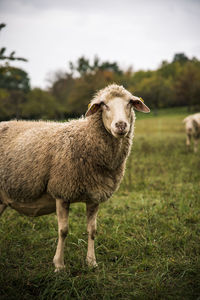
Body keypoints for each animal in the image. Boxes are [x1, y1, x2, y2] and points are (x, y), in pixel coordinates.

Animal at [0, 84, 150, 272]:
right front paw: (59, 265)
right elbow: (63, 231)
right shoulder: (62, 191)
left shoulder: (94, 195)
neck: (85, 139)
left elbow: (92, 230)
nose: (121, 125)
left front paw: (91, 262)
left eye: (130, 102)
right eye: (103, 105)